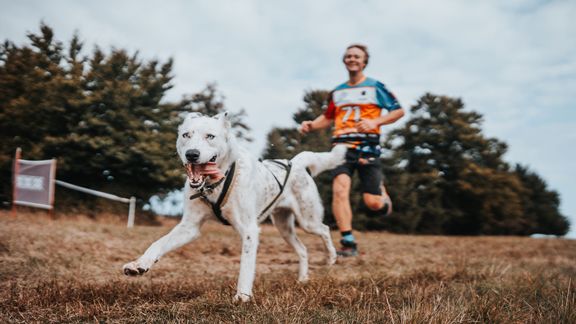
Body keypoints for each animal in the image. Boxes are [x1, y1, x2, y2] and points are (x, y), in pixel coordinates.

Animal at [123, 112, 344, 302]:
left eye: (210, 136)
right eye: (186, 135)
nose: (192, 154)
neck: (214, 184)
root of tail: (293, 162)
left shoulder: (249, 230)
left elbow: (246, 265)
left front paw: (243, 296)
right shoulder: (189, 227)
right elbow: (158, 243)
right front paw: (140, 264)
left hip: (307, 220)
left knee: (324, 229)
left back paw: (331, 257)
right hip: (284, 228)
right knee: (303, 249)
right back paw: (303, 279)